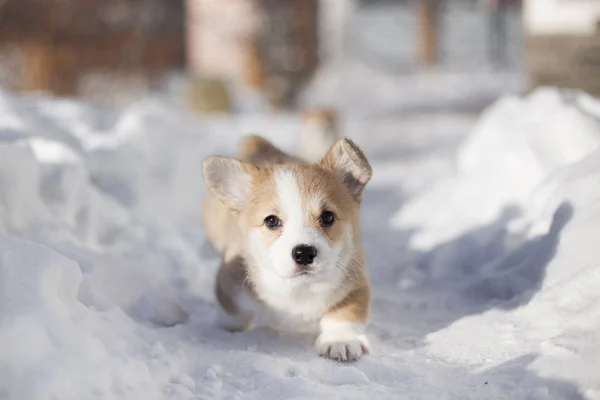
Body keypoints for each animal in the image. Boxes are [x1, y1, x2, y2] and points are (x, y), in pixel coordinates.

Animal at [202, 134, 370, 362]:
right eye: (271, 221)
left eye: (328, 217)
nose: (304, 253)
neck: (298, 288)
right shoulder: (231, 281)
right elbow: (231, 310)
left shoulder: (354, 280)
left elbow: (346, 312)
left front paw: (340, 341)